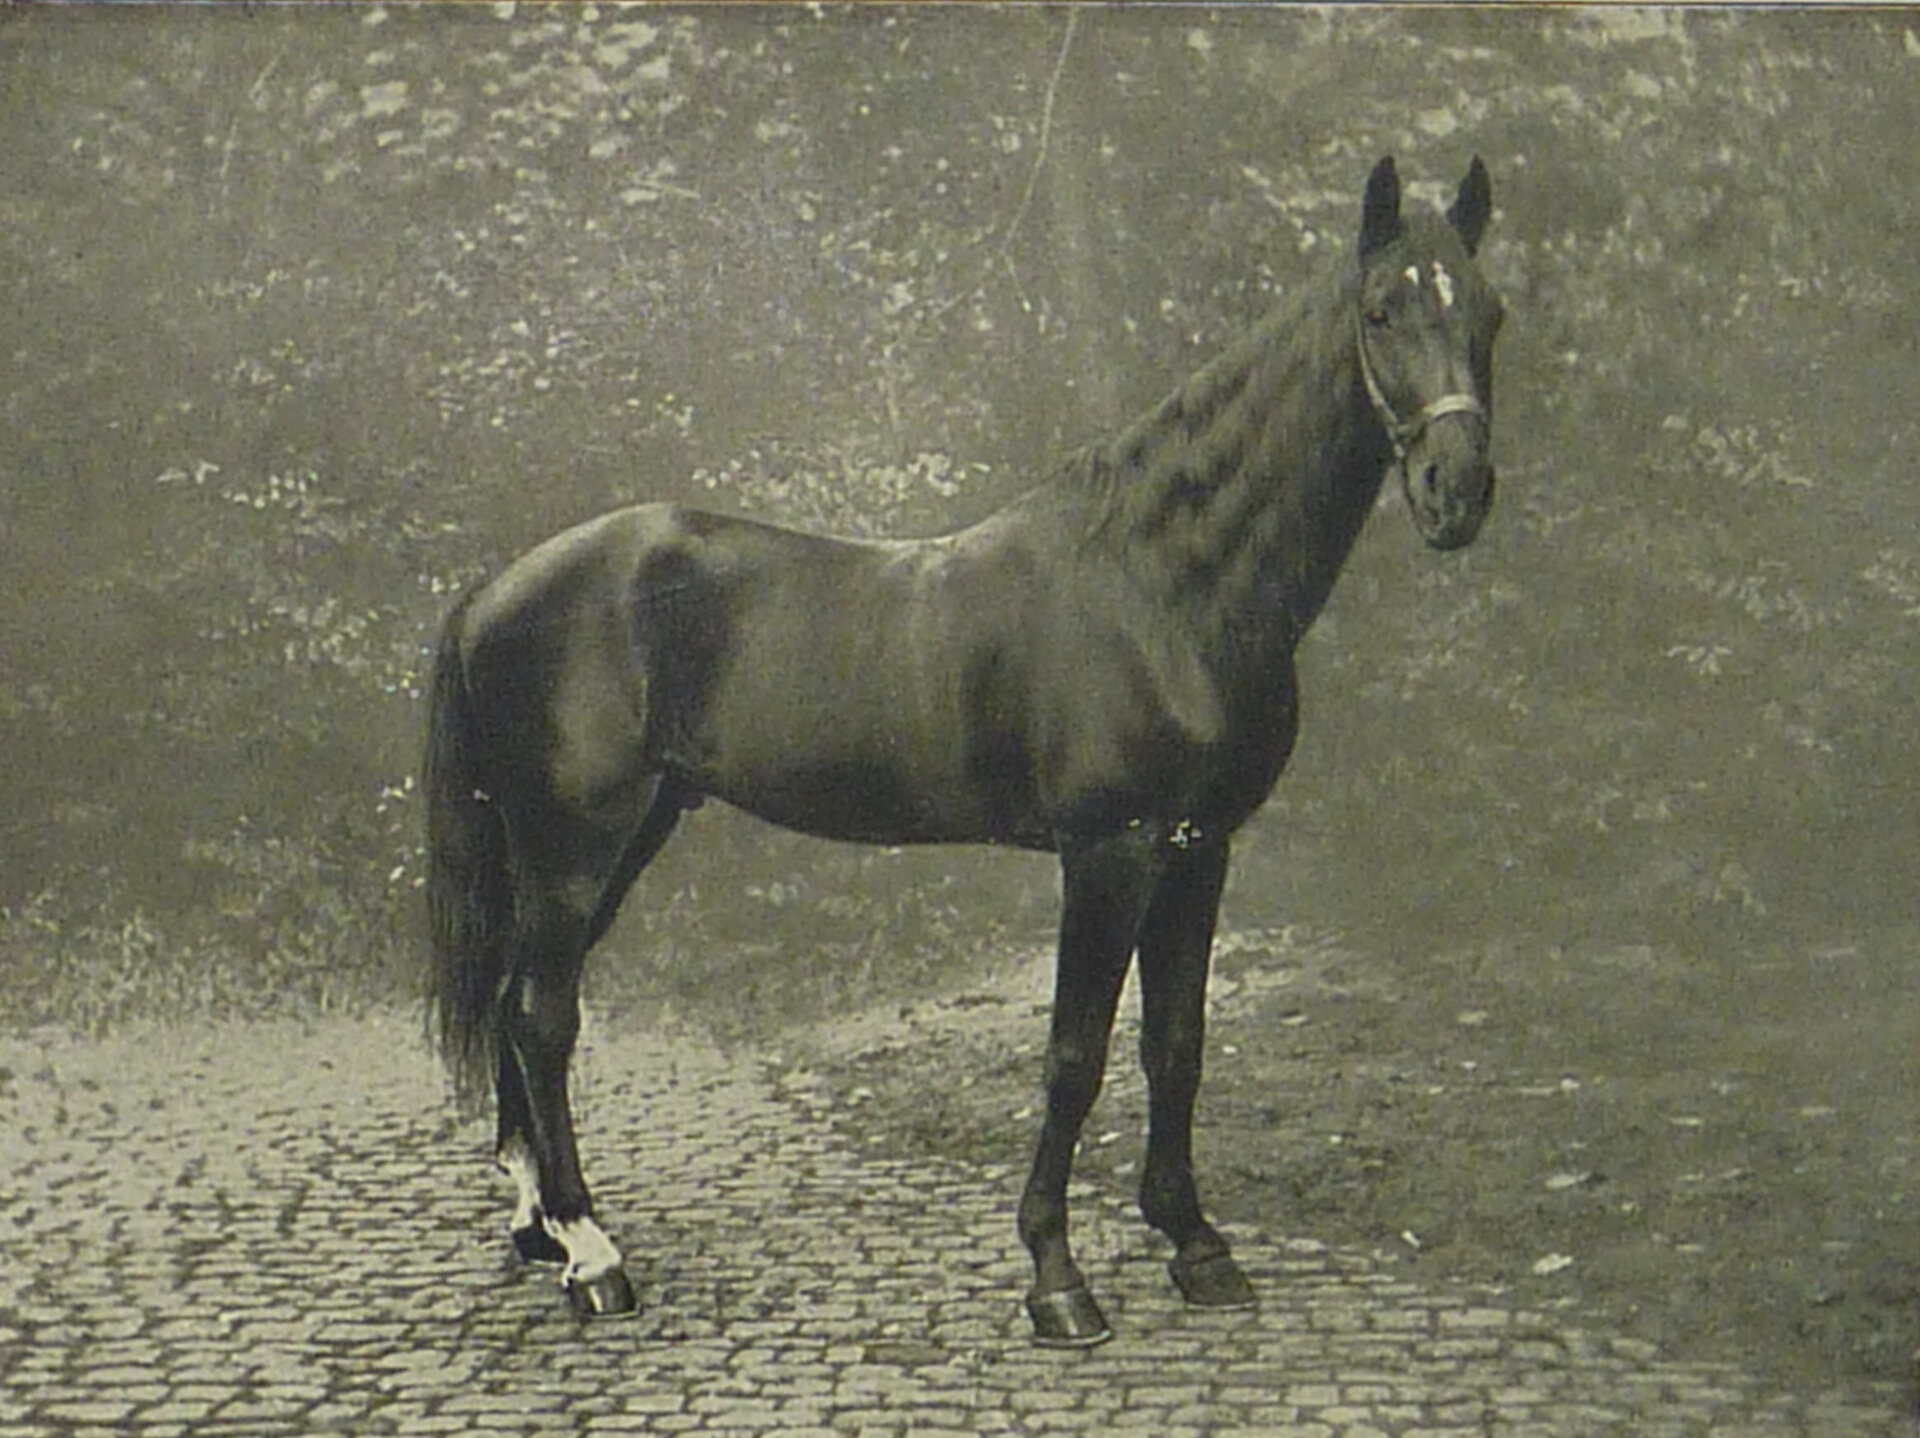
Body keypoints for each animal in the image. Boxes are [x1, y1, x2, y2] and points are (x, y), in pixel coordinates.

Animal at [424, 155, 1502, 1347]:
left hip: (614, 839)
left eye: (1490, 313)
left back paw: (541, 1231)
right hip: (576, 843)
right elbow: (1075, 1055)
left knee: (520, 1008)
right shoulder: (1110, 849)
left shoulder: (1200, 845)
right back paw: (594, 1254)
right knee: (542, 1017)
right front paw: (1058, 1278)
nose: (1458, 491)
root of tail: (497, 588)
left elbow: (1176, 1042)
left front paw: (1196, 1244)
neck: (1164, 588)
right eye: (1382, 310)